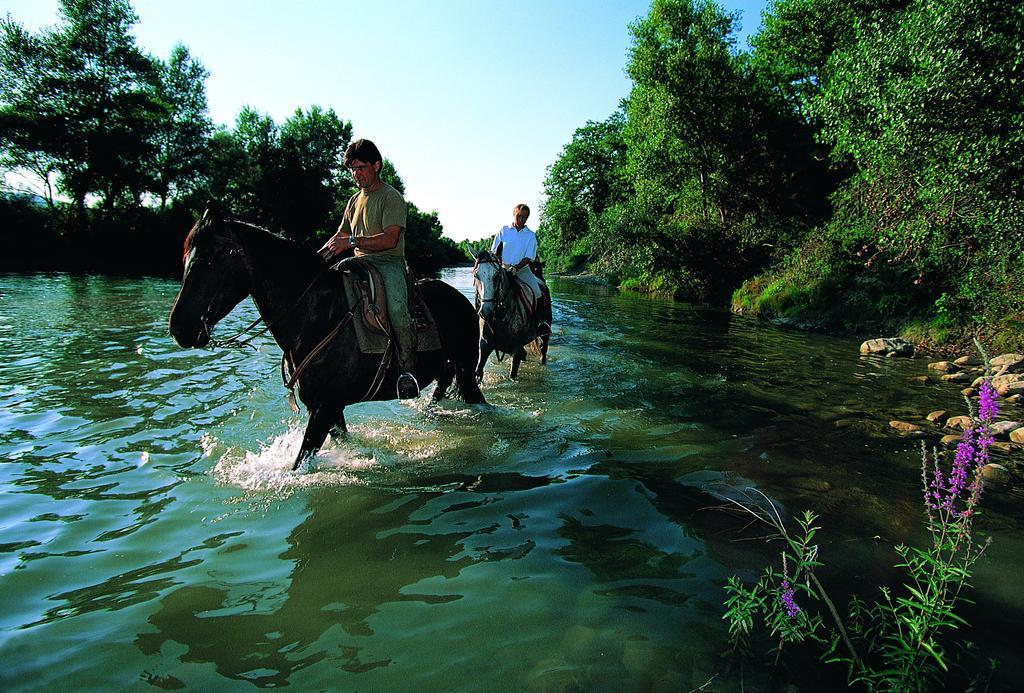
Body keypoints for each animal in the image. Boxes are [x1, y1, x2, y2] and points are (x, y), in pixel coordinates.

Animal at [168, 206, 487, 470]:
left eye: (211, 260)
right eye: (186, 258)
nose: (180, 329)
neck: (315, 316)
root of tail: (463, 301)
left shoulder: (324, 408)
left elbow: (298, 463)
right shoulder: (329, 408)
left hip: (466, 367)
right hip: (447, 370)